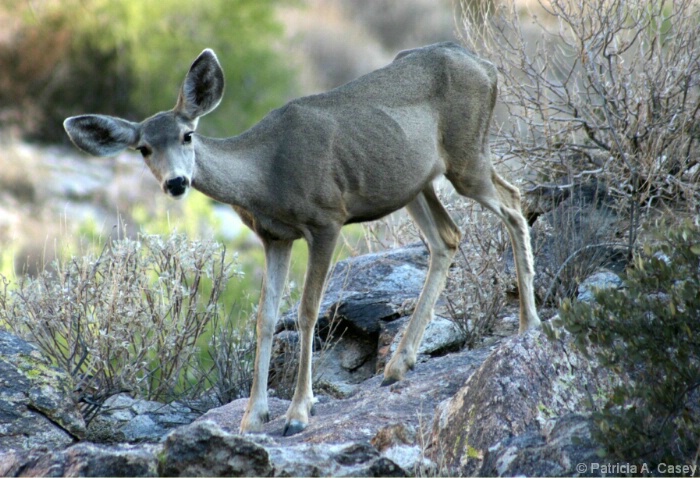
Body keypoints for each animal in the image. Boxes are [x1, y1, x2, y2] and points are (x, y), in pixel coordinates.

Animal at [63, 43, 540, 436]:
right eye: (143, 148)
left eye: (187, 134)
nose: (176, 183)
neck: (265, 176)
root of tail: (486, 65)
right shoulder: (274, 237)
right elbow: (265, 317)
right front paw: (252, 416)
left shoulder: (327, 219)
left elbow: (308, 311)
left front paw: (297, 413)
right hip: (413, 182)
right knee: (448, 236)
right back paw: (398, 364)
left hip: (467, 155)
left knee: (514, 202)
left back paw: (528, 324)